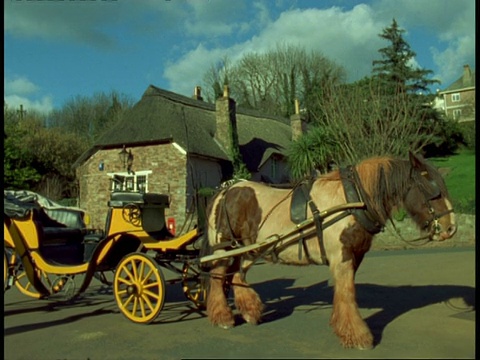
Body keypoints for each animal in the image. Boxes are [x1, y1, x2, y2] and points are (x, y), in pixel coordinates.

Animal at [203, 151, 458, 348]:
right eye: (432, 191)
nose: (451, 228)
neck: (353, 200)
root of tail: (225, 190)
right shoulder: (342, 256)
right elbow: (347, 293)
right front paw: (357, 336)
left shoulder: (355, 256)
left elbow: (346, 292)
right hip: (224, 248)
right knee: (217, 276)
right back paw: (222, 317)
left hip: (248, 250)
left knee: (237, 276)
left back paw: (251, 312)